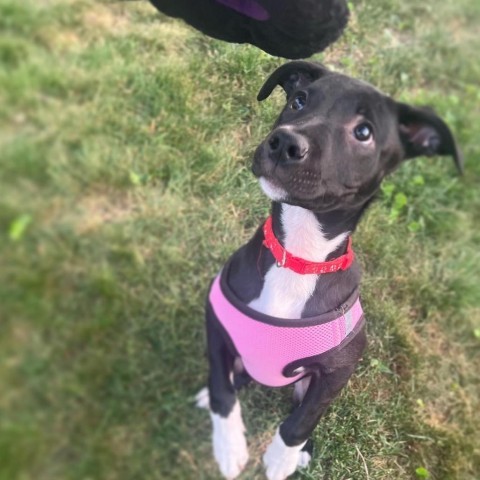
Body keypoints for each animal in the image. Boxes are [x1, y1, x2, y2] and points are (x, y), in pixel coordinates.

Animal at [195, 61, 462, 480]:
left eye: (364, 132)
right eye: (299, 100)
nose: (284, 143)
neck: (298, 256)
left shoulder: (336, 371)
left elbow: (301, 422)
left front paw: (281, 459)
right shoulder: (218, 320)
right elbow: (223, 388)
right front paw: (228, 446)